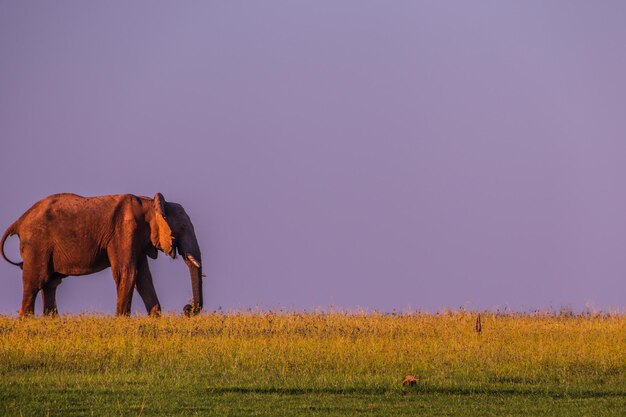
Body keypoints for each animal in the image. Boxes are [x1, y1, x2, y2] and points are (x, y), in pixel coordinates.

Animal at [0, 193, 202, 316]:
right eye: (182, 228)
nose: (187, 309)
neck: (150, 202)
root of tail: (18, 221)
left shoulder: (136, 238)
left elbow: (143, 278)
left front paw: (155, 318)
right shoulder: (125, 230)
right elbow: (127, 273)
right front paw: (122, 322)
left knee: (50, 284)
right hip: (36, 243)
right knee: (35, 282)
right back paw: (27, 320)